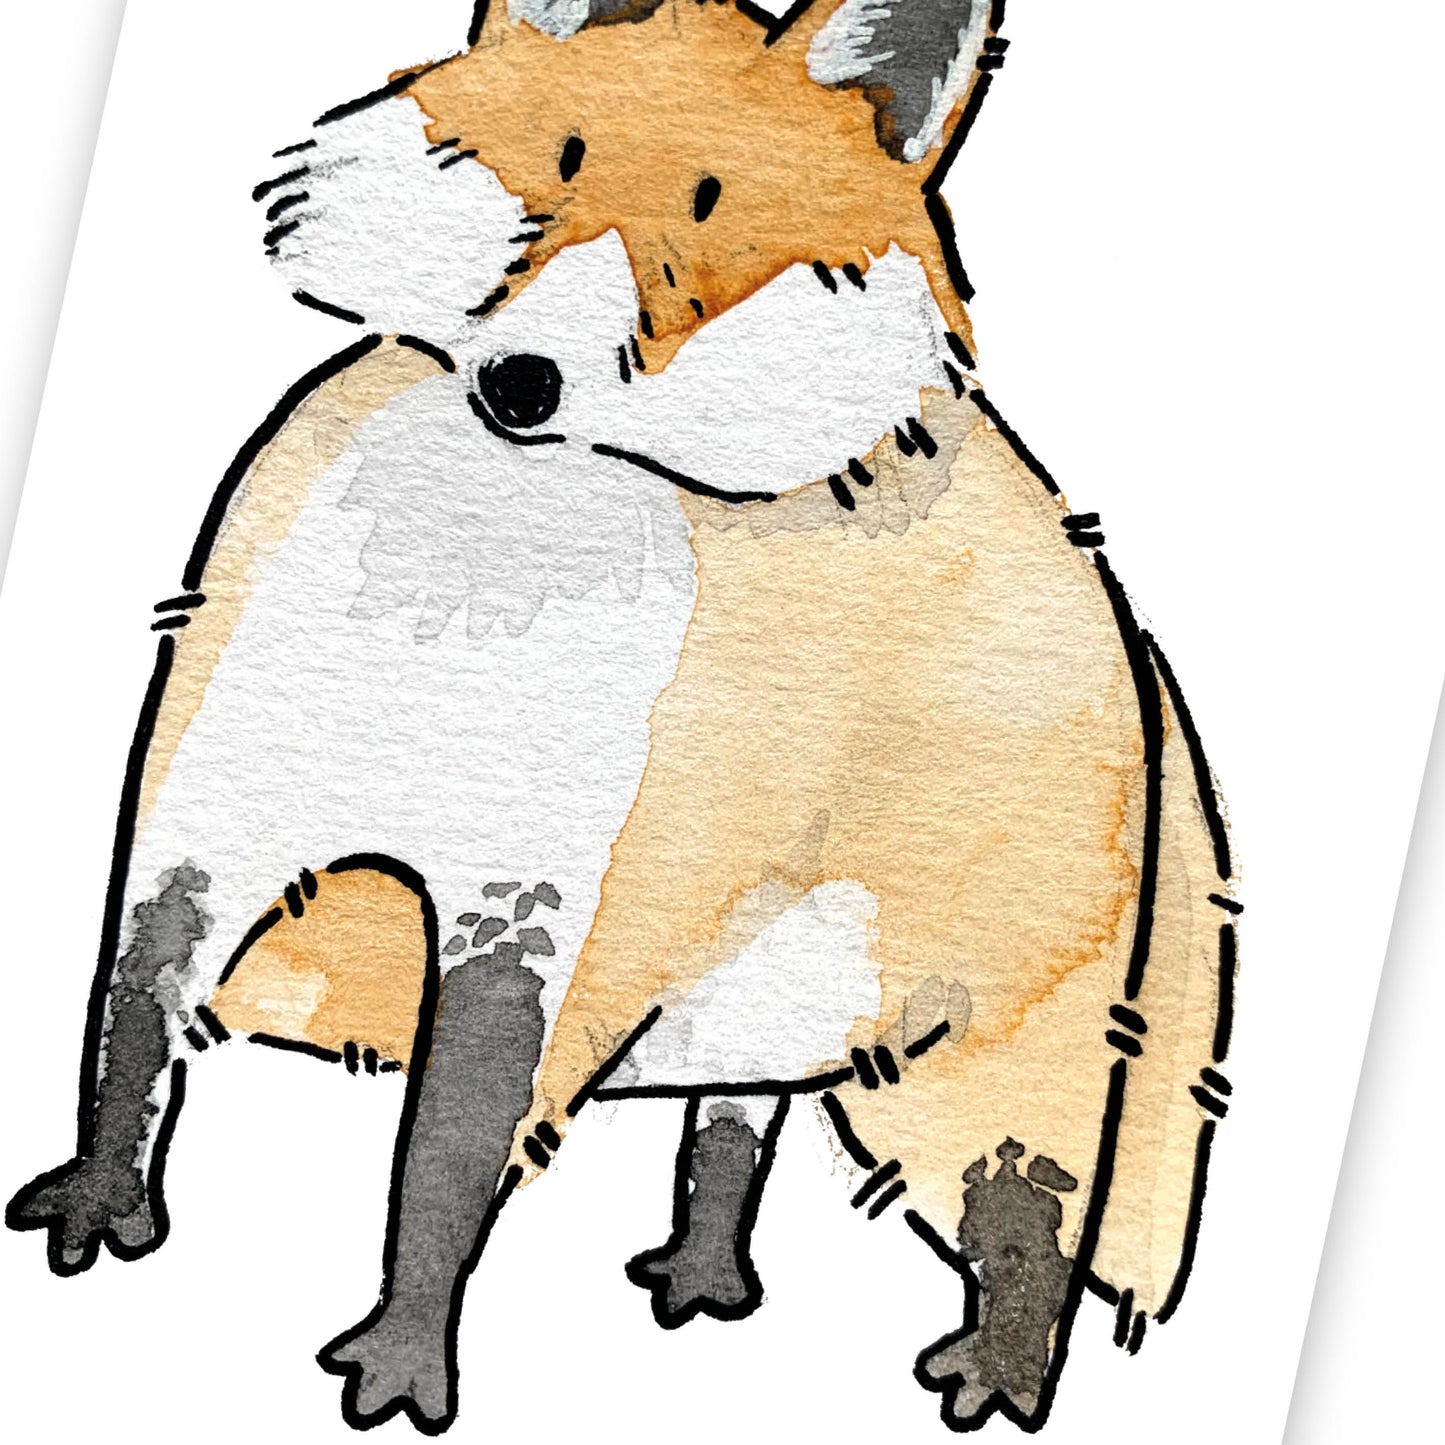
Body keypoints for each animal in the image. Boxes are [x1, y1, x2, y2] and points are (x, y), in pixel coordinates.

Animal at [6, 0, 1238, 1437]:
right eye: (560, 165)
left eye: (707, 225)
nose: (525, 384)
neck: (446, 615)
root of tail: (1111, 610)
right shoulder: (213, 805)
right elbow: (135, 1016)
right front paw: (100, 1205)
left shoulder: (548, 916)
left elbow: (449, 1151)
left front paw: (403, 1361)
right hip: (752, 1004)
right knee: (737, 1120)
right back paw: (702, 1275)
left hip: (971, 1066)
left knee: (1028, 1217)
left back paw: (996, 1375)